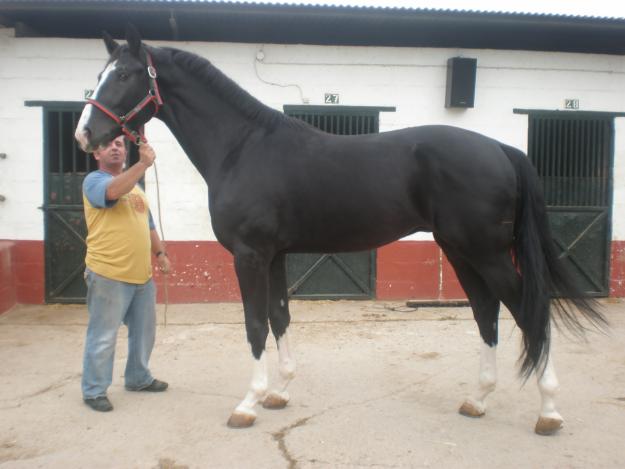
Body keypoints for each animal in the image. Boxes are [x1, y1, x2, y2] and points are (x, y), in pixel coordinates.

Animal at [74, 26, 604, 436]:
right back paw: (478, 400)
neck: (243, 148)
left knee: (529, 311)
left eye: (124, 75)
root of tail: (500, 148)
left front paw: (248, 404)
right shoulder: (275, 255)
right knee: (486, 313)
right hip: (460, 250)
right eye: (98, 75)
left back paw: (549, 412)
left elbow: (254, 324)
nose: (86, 135)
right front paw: (279, 393)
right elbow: (279, 316)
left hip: (487, 252)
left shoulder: (249, 255)